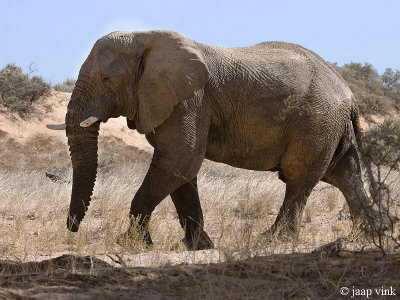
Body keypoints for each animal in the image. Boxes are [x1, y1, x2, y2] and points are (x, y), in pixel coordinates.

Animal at [48, 30, 374, 251]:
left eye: (107, 80)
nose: (72, 229)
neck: (148, 39)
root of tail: (349, 93)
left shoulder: (190, 101)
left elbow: (180, 159)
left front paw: (132, 245)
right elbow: (181, 171)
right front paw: (199, 247)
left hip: (315, 122)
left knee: (299, 178)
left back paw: (273, 240)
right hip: (328, 127)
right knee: (345, 176)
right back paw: (369, 236)